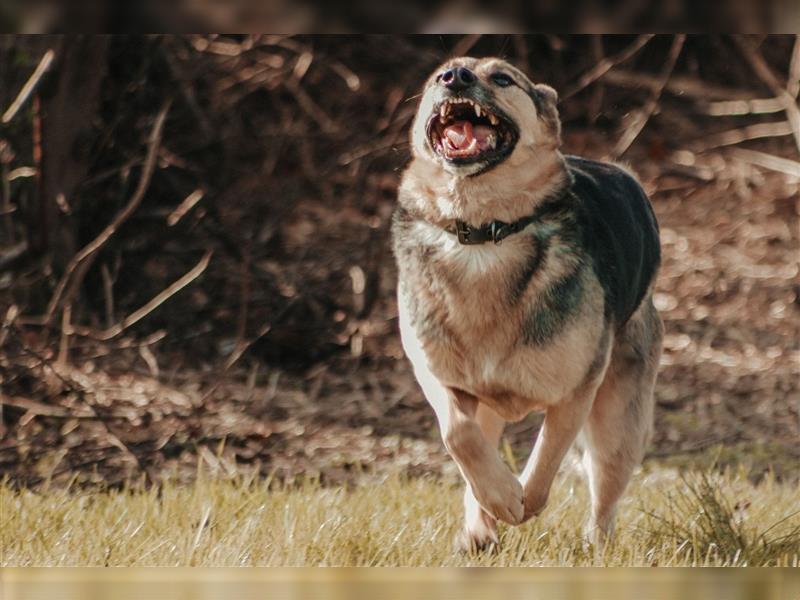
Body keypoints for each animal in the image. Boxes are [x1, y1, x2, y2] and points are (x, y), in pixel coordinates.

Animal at [392, 58, 664, 552]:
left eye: (502, 78)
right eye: (439, 76)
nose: (455, 77)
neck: (484, 231)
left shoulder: (579, 388)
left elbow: (547, 454)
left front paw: (524, 499)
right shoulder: (441, 378)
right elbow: (458, 434)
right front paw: (500, 498)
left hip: (619, 419)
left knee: (606, 488)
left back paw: (595, 544)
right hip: (488, 405)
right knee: (475, 453)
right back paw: (480, 528)